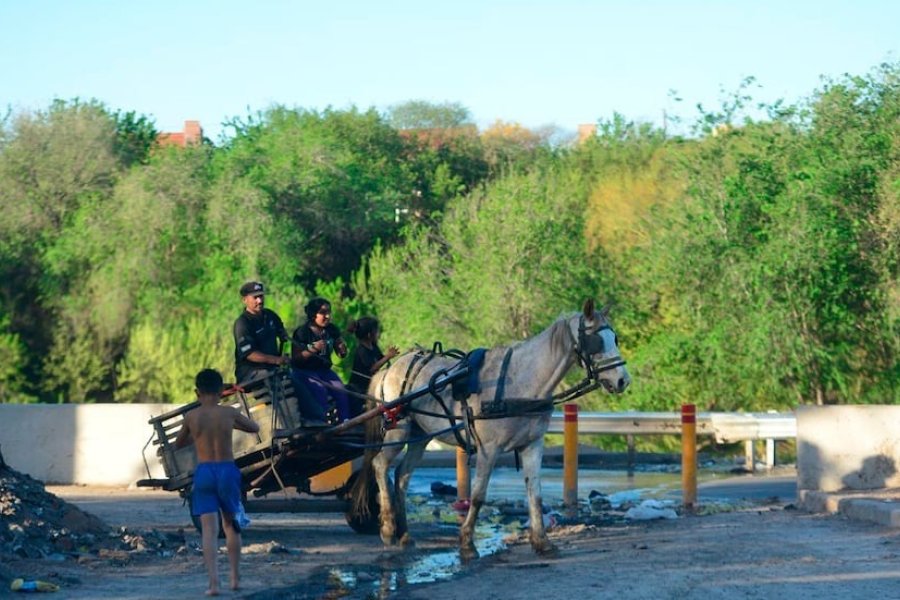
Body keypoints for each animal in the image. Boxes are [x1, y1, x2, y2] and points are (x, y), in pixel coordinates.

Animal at [356, 302, 628, 560]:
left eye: (614, 338)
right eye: (596, 341)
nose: (623, 380)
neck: (521, 383)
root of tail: (389, 369)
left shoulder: (532, 445)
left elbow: (535, 494)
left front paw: (542, 542)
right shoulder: (489, 449)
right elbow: (478, 496)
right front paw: (467, 544)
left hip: (418, 435)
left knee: (402, 475)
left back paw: (404, 535)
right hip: (398, 429)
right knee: (381, 464)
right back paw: (388, 529)